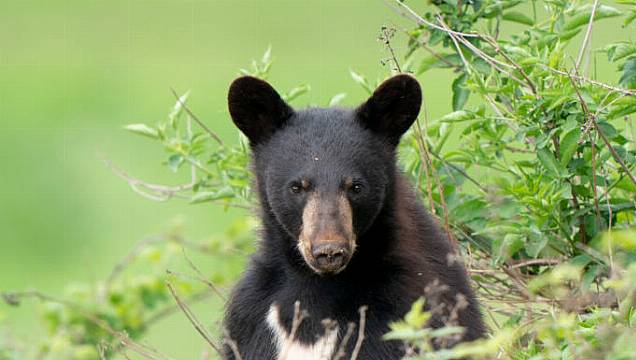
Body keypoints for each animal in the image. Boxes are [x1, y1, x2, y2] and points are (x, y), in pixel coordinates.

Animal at [222, 74, 482, 358]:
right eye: (297, 187)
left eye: (356, 187)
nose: (329, 251)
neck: (316, 285)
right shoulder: (250, 318)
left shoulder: (406, 309)